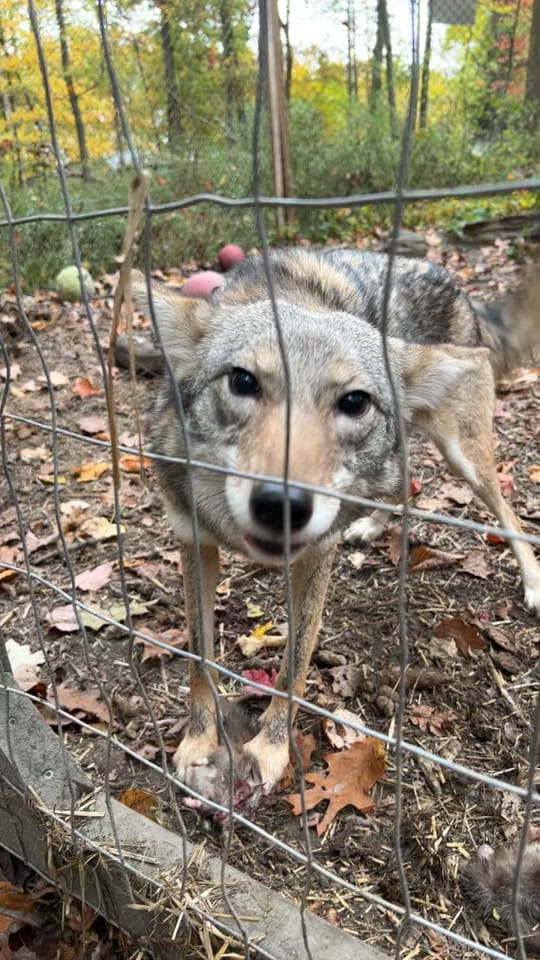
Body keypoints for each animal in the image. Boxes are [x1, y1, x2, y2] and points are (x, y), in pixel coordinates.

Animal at [132, 248, 540, 817]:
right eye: (243, 382)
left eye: (353, 402)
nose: (282, 504)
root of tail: (450, 278)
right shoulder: (194, 543)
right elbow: (200, 655)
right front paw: (197, 741)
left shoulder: (315, 558)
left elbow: (294, 665)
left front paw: (269, 752)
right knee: (406, 484)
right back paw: (370, 526)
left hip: (468, 460)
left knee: (509, 513)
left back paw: (533, 582)